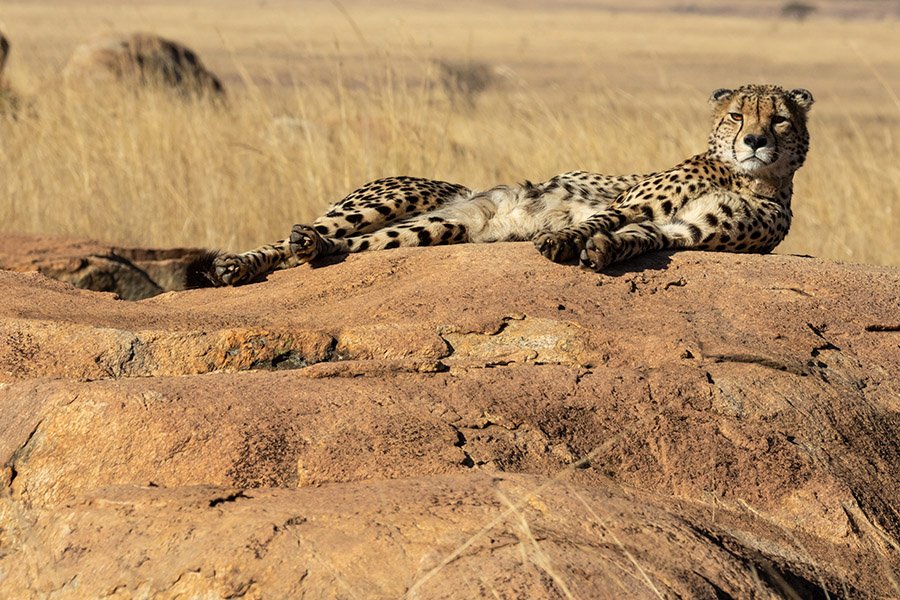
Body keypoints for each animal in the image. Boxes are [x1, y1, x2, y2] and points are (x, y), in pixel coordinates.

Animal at [199, 84, 816, 288]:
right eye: (737, 116)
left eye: (780, 120)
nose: (755, 141)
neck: (747, 178)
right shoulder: (633, 201)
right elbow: (604, 216)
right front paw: (565, 241)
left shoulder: (683, 230)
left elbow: (639, 240)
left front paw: (602, 252)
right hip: (395, 197)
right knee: (297, 236)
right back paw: (237, 264)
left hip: (429, 229)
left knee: (344, 245)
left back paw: (308, 251)